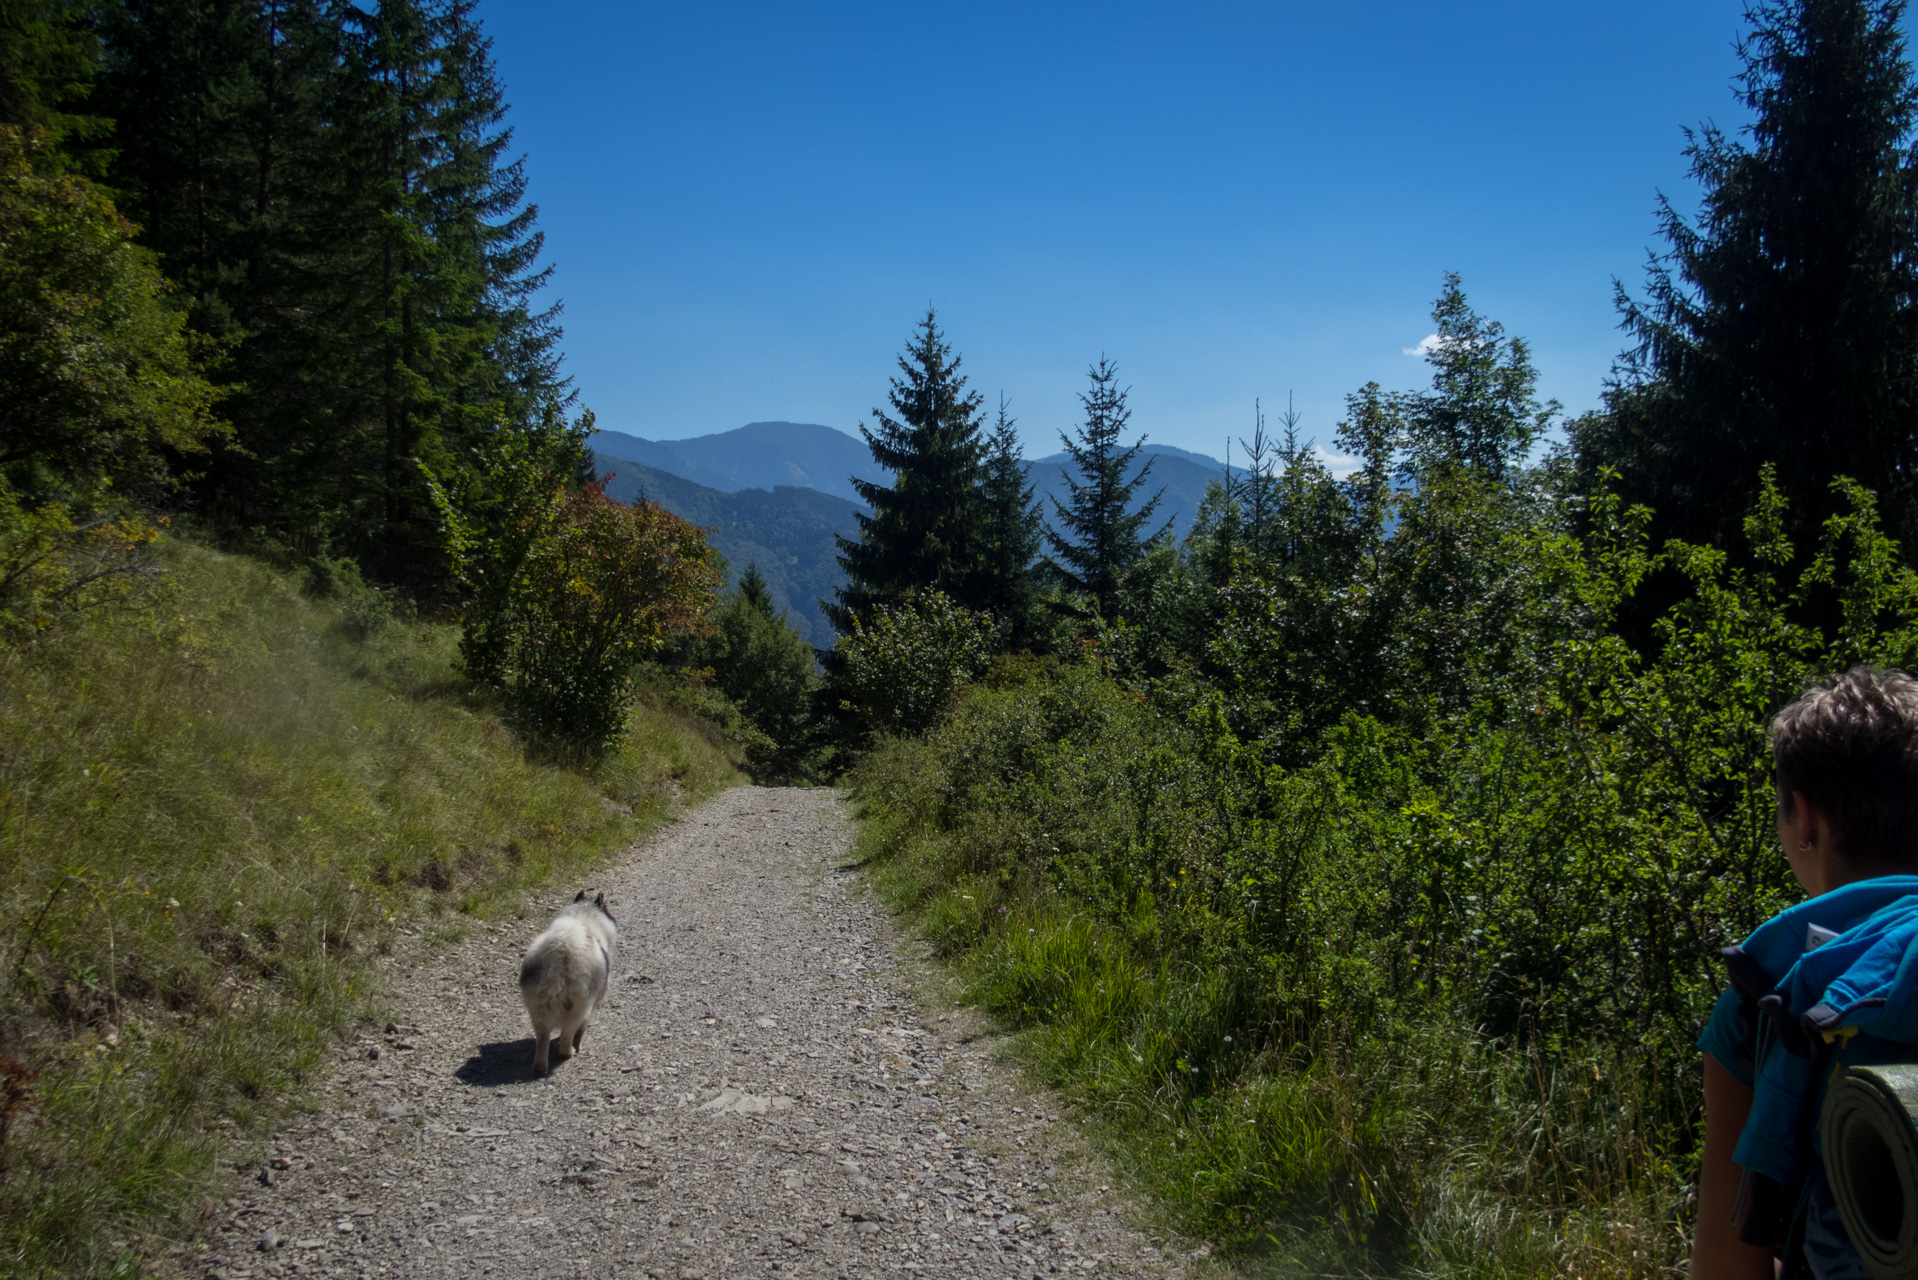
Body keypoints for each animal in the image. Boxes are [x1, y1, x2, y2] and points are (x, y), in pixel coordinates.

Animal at [521, 890, 617, 1082]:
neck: (584, 916)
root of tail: (562, 951)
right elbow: (582, 1028)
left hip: (537, 1005)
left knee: (542, 1038)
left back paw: (540, 1067)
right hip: (580, 1004)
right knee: (568, 1034)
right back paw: (570, 1052)